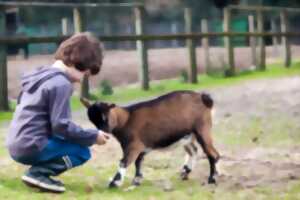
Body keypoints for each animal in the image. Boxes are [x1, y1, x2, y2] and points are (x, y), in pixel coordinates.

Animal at [81, 90, 220, 188]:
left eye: (105, 117)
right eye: (92, 120)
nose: (103, 132)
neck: (126, 119)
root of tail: (203, 98)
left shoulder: (133, 146)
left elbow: (124, 161)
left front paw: (114, 183)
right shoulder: (142, 146)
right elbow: (138, 162)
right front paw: (137, 180)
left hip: (202, 130)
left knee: (212, 154)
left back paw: (212, 179)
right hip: (188, 136)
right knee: (194, 151)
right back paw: (186, 171)